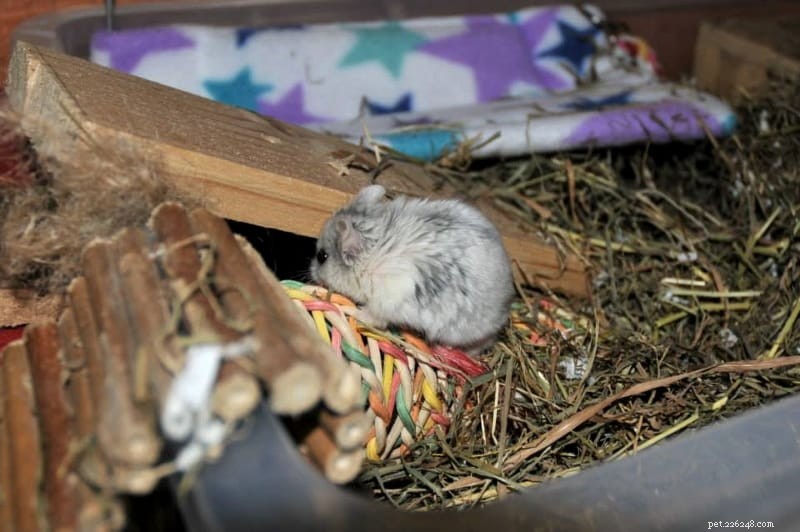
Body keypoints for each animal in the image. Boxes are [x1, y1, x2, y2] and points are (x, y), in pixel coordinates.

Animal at [310, 184, 515, 355]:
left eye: (322, 256)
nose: (311, 272)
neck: (370, 258)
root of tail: (505, 307)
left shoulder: (383, 305)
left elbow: (370, 317)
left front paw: (349, 310)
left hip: (464, 331)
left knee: (484, 342)